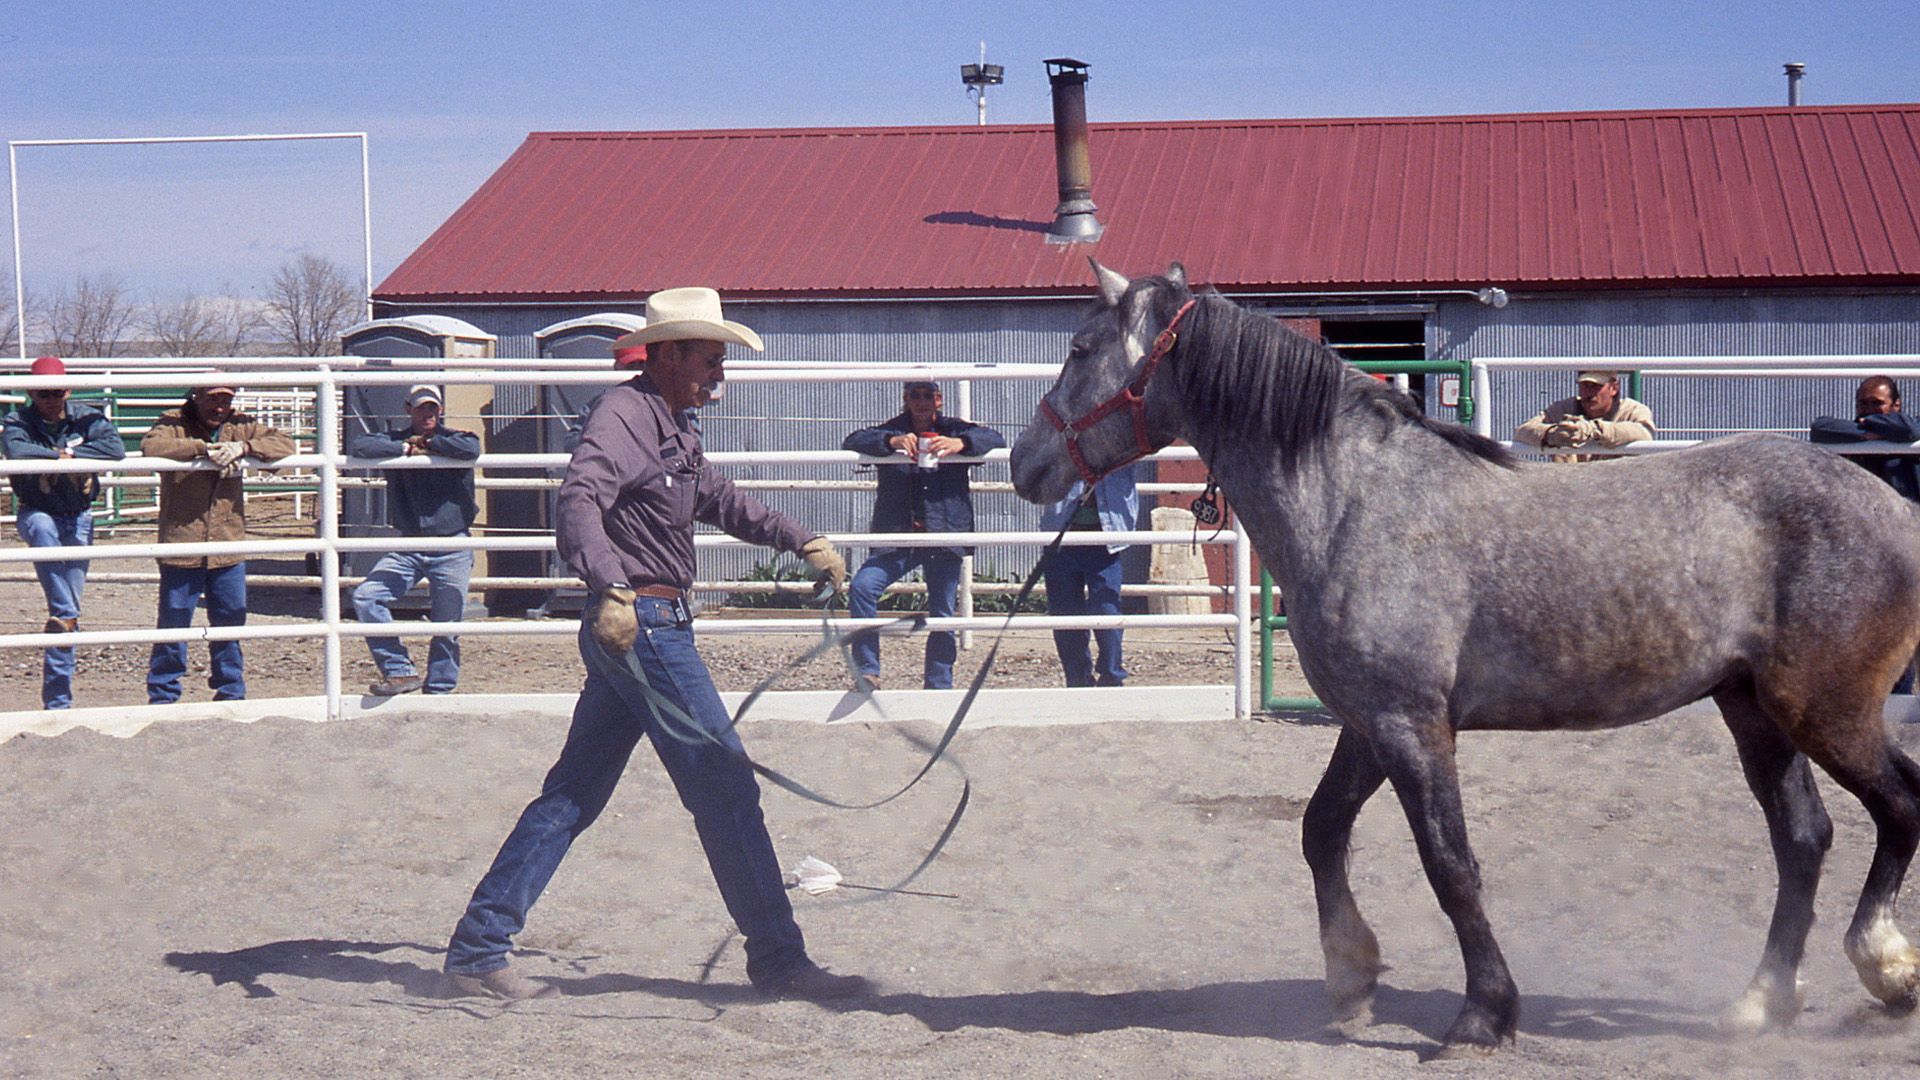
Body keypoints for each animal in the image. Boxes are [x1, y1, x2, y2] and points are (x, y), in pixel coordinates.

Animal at [1006, 261, 1920, 1053]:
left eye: (1081, 348)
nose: (1023, 463)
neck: (1354, 502)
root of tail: (1891, 507)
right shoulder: (1370, 724)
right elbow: (1320, 830)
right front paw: (1352, 978)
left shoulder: (1412, 729)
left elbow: (1450, 867)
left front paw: (1484, 1015)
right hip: (1753, 709)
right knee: (1803, 839)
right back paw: (1760, 1004)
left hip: (1826, 711)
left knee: (1898, 808)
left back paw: (1885, 968)